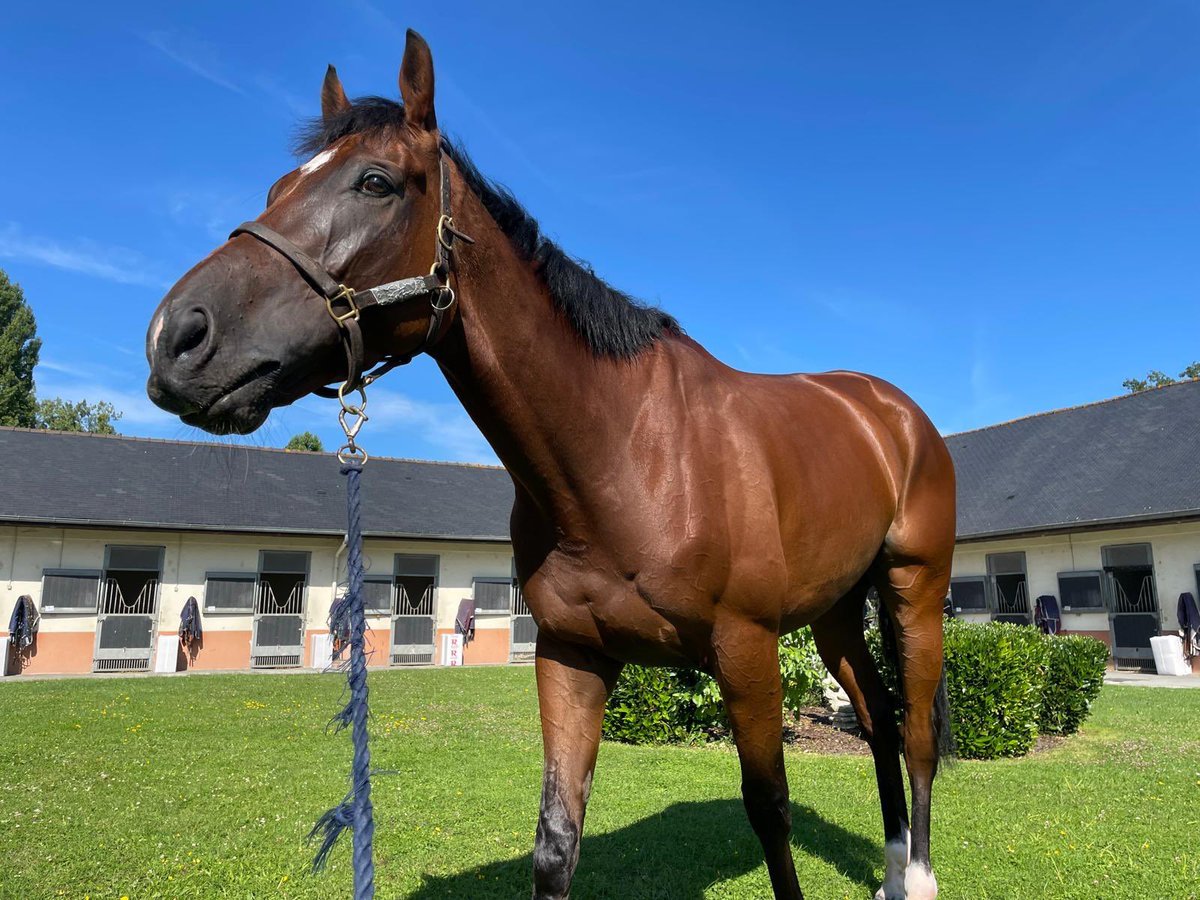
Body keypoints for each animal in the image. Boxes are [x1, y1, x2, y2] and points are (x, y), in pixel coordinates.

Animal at [145, 30, 956, 900]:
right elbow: (556, 838)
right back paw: (893, 871)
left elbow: (770, 810)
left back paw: (920, 875)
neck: (629, 455)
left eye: (376, 182)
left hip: (912, 589)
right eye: (276, 186)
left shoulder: (747, 649)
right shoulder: (571, 657)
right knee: (877, 716)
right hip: (836, 607)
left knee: (914, 730)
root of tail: (892, 414)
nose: (177, 337)